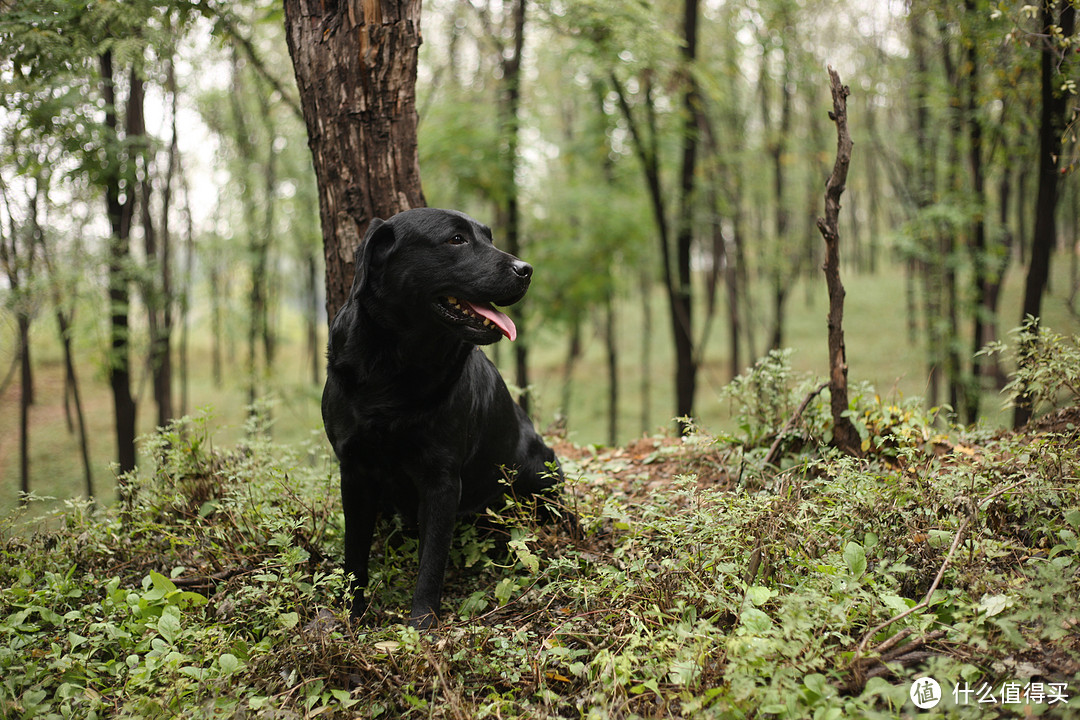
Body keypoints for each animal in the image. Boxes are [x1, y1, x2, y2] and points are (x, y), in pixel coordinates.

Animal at [321, 207, 565, 626]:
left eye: (488, 237)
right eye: (456, 239)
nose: (526, 269)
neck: (395, 368)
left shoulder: (442, 477)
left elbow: (432, 559)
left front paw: (421, 622)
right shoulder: (353, 470)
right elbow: (354, 553)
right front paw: (351, 612)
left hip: (541, 470)